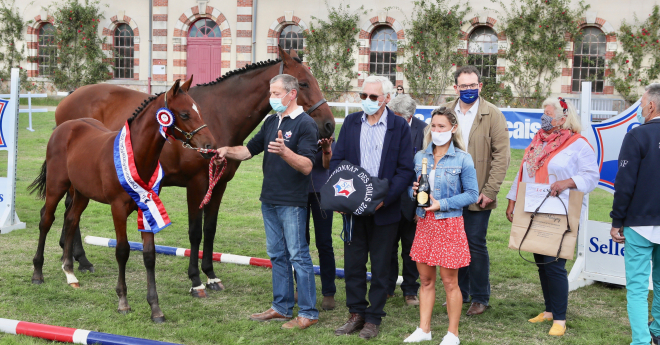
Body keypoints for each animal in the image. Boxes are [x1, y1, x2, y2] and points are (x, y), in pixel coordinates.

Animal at [29, 77, 215, 320]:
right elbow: (122, 250)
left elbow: (149, 255)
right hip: (56, 186)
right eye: (184, 114)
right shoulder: (117, 208)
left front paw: (155, 309)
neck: (137, 156)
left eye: (199, 110)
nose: (210, 146)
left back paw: (70, 273)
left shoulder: (146, 207)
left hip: (82, 193)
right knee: (46, 220)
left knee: (71, 219)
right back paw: (37, 274)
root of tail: (64, 127)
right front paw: (123, 302)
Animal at [52, 47, 336, 296]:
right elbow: (195, 232)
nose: (329, 125)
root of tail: (71, 97)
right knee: (70, 211)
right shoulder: (196, 184)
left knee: (71, 211)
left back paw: (77, 260)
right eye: (303, 84)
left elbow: (209, 229)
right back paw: (78, 261)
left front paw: (211, 276)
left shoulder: (218, 185)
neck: (220, 114)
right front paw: (196, 280)